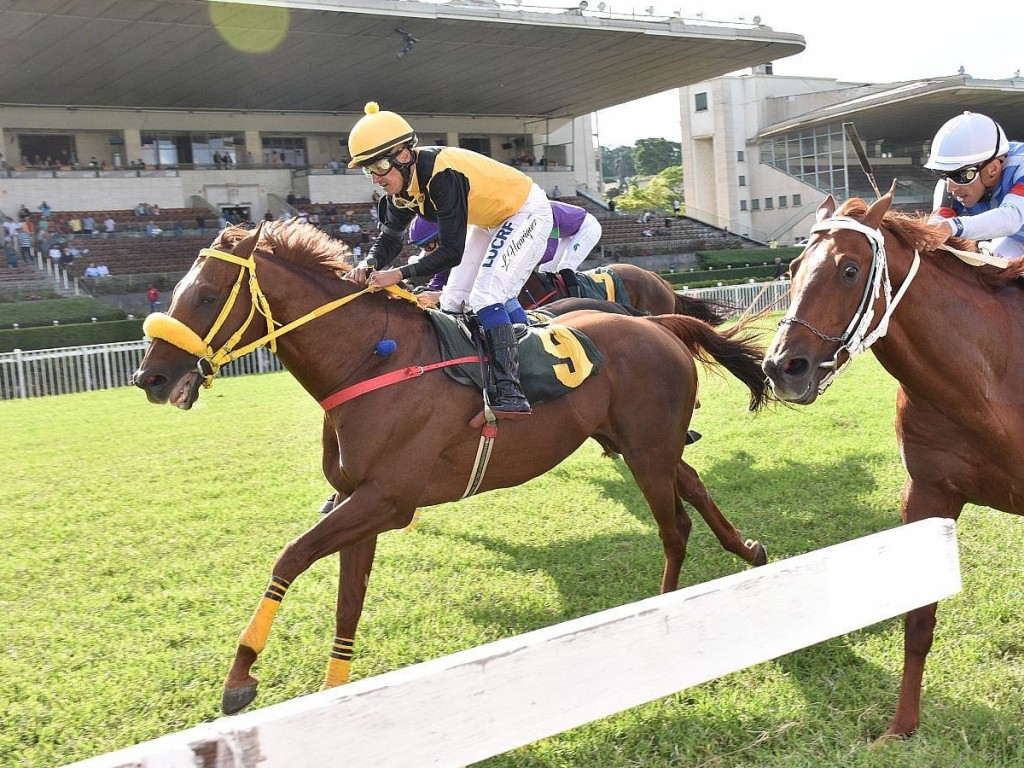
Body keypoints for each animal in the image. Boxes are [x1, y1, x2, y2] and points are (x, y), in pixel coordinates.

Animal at [761, 188, 1024, 741]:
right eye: (792, 267)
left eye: (849, 269)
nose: (781, 367)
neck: (988, 384)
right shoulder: (928, 496)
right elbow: (918, 622)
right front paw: (901, 726)